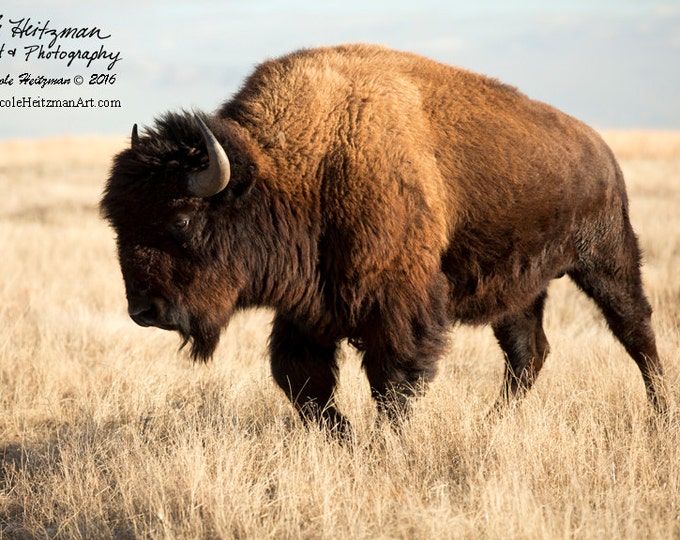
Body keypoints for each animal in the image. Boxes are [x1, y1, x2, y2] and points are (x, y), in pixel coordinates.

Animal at [99, 43, 664, 434]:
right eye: (118, 223)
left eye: (180, 220)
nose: (144, 311)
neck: (300, 167)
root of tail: (600, 150)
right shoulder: (307, 310)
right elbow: (301, 381)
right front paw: (344, 438)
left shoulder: (397, 305)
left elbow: (393, 381)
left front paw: (381, 443)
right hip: (519, 288)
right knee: (529, 354)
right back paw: (493, 423)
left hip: (606, 259)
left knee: (636, 331)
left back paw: (661, 414)